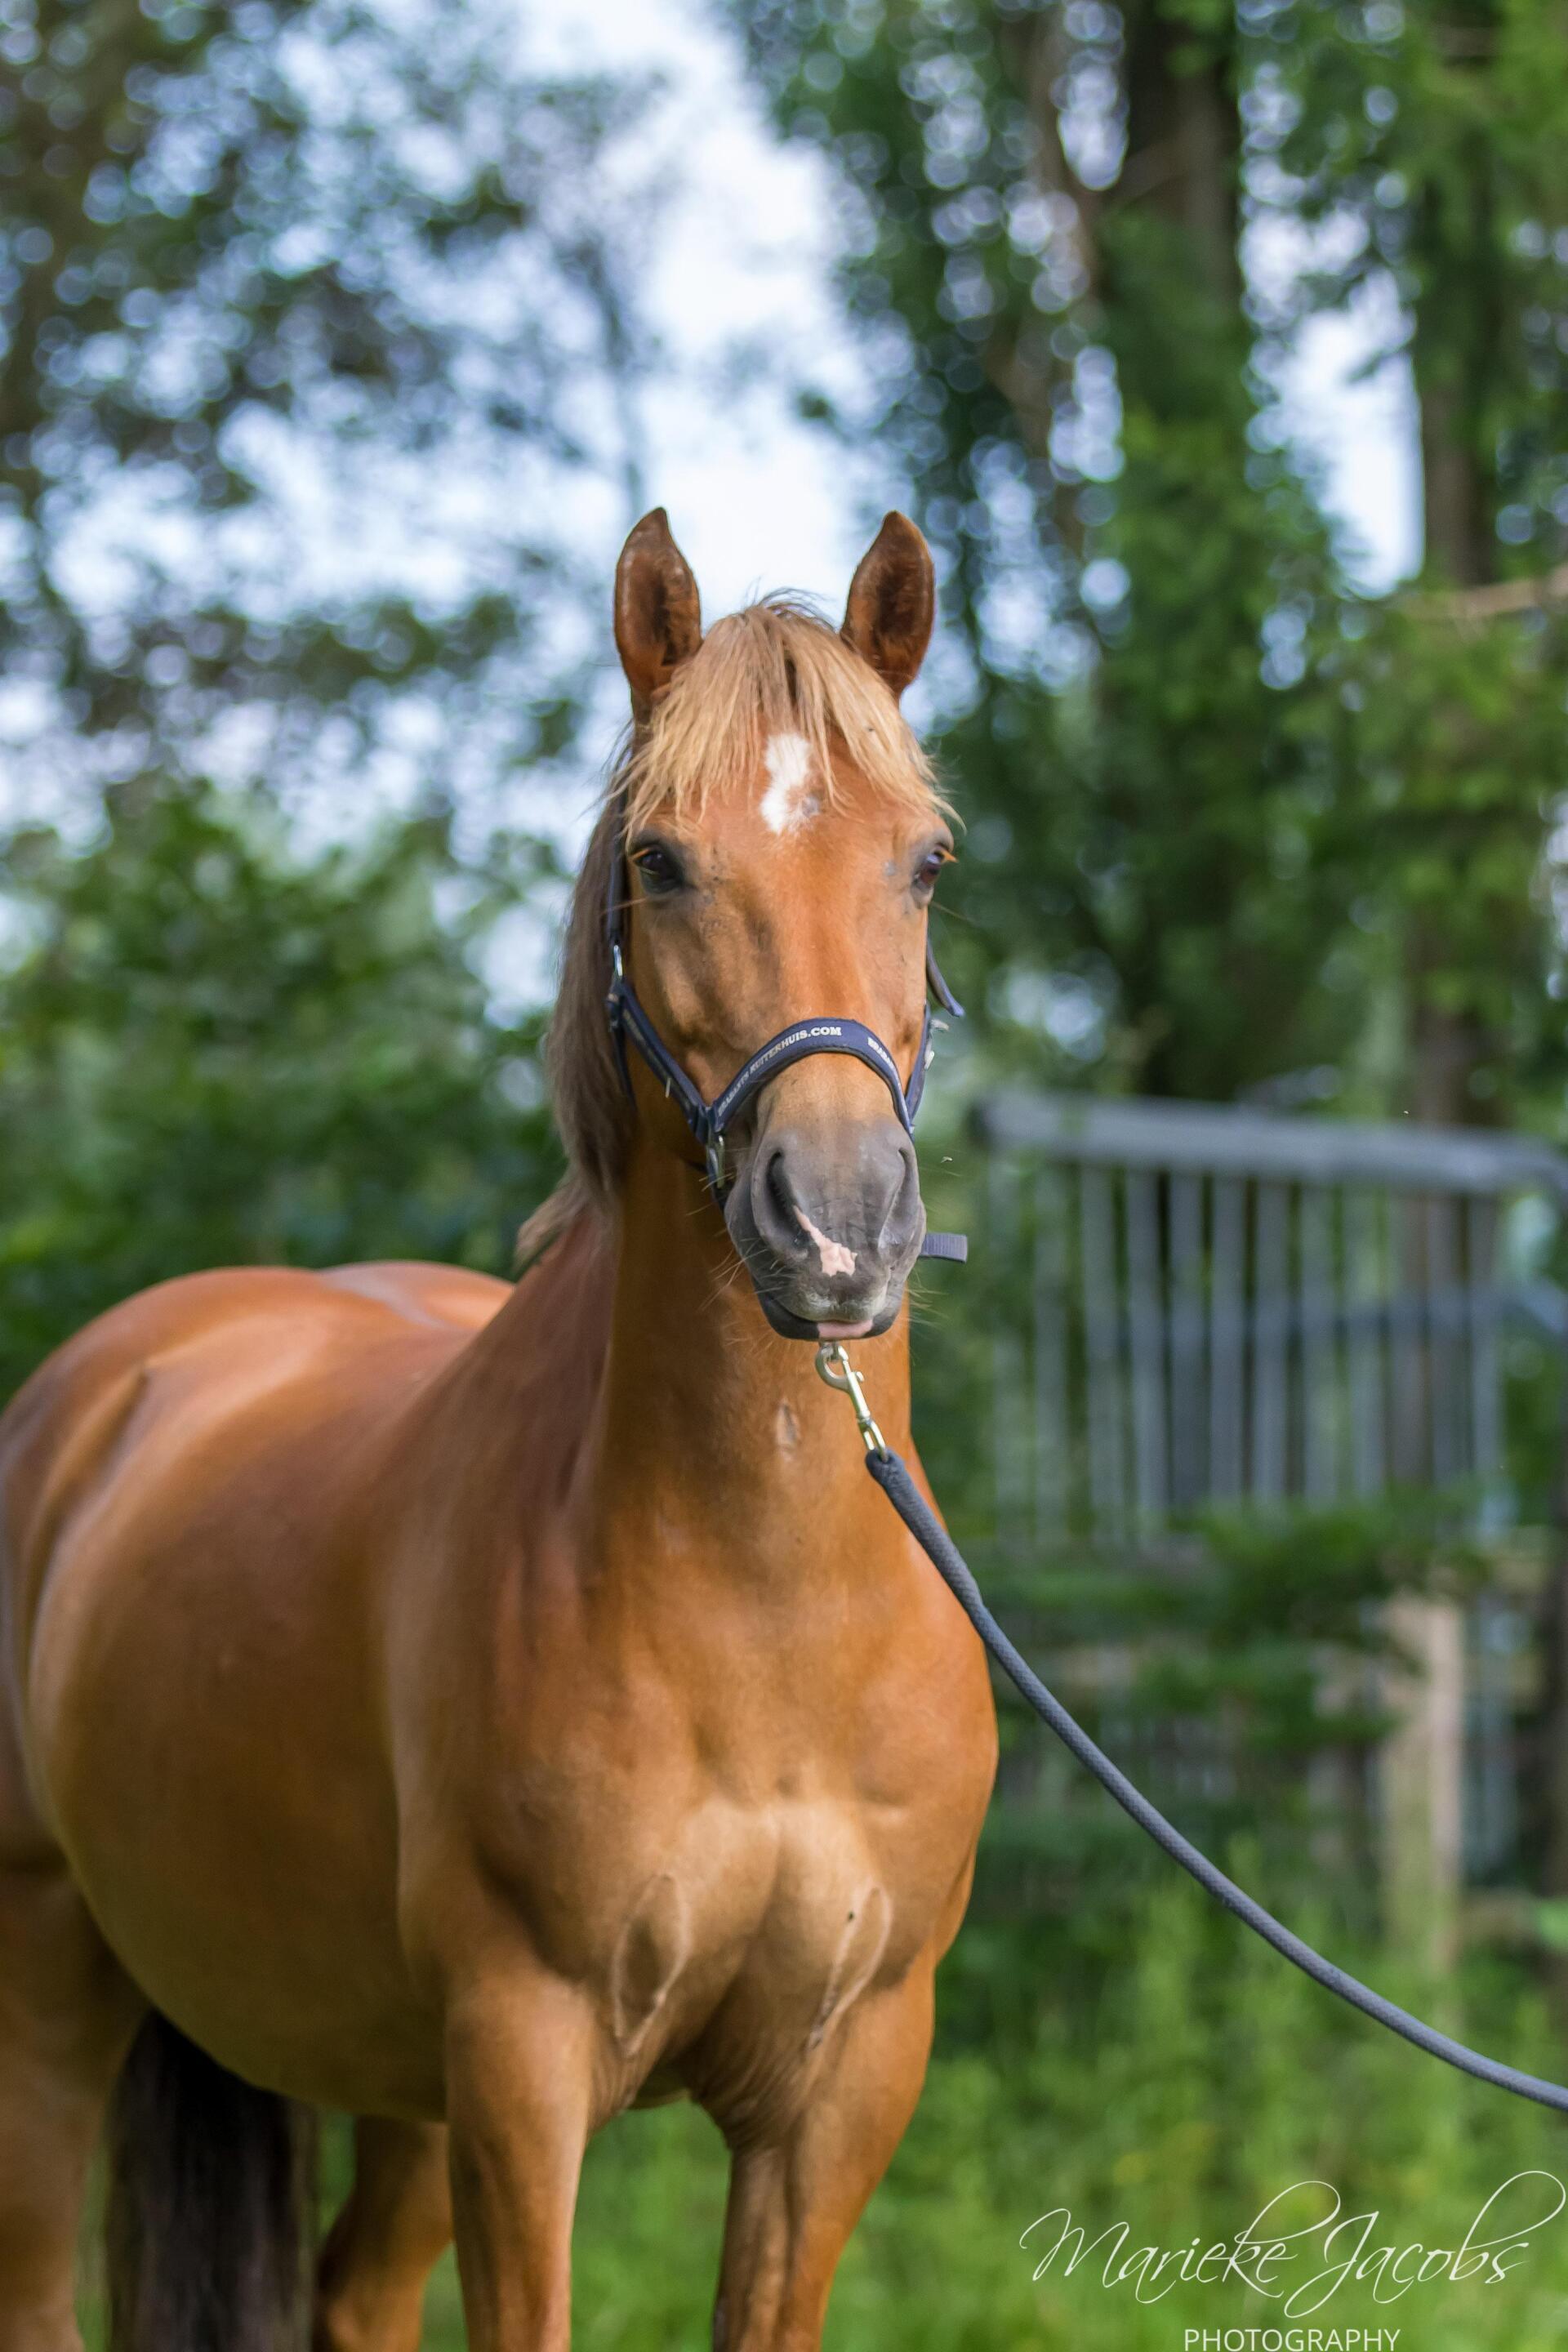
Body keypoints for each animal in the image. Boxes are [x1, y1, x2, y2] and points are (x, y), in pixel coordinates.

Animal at [0, 508, 998, 2352]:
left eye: (928, 862)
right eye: (661, 862)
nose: (836, 1229)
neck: (770, 1608)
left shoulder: (843, 2090)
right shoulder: (525, 2068)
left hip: (386, 2081)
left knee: (350, 2298)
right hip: (49, 1988)